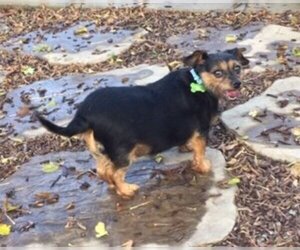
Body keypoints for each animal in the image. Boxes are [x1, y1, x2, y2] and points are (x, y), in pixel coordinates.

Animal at [36, 47, 250, 198]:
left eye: (237, 68)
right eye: (218, 73)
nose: (237, 83)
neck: (199, 83)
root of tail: (84, 114)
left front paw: (186, 148)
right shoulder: (201, 131)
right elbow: (200, 152)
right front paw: (203, 166)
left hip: (98, 148)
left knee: (103, 171)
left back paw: (114, 187)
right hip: (124, 152)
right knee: (115, 173)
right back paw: (126, 190)